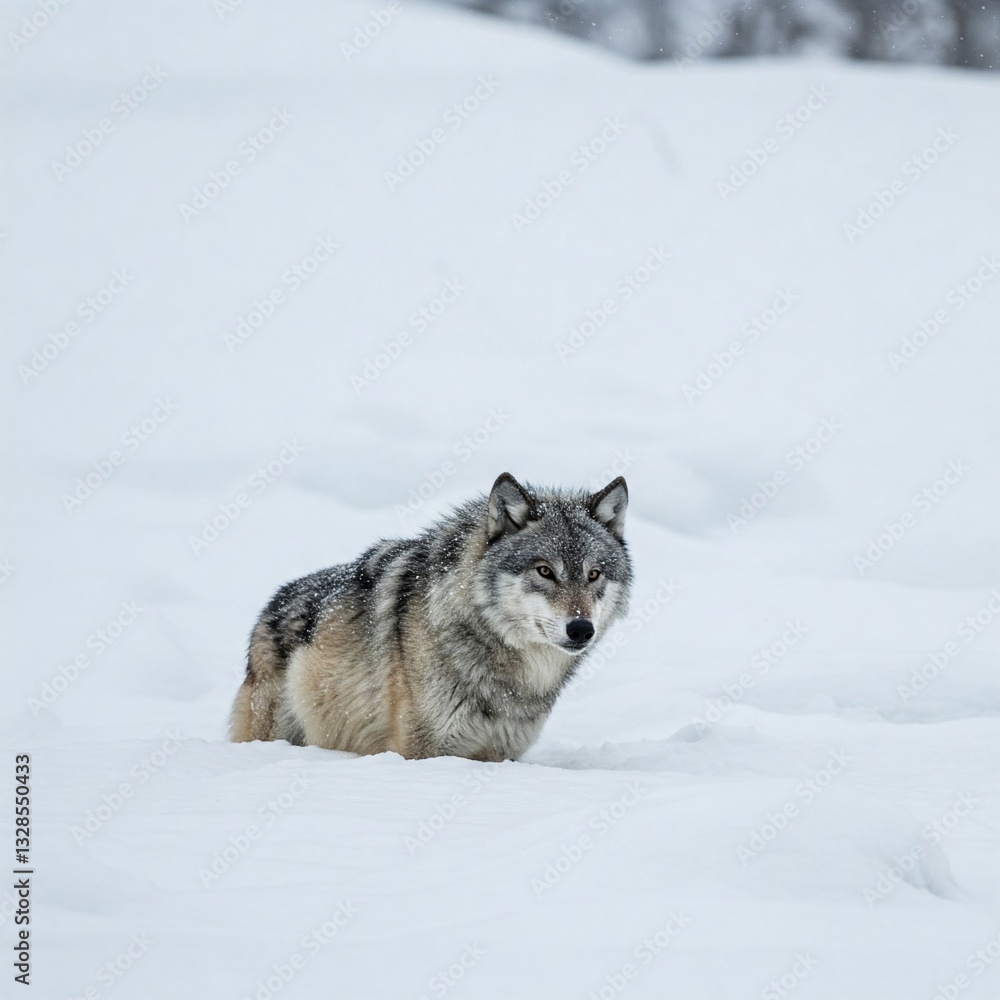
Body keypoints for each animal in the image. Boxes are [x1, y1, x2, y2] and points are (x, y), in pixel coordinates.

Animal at [229, 472, 632, 761]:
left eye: (594, 574)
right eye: (545, 571)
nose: (581, 629)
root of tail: (270, 608)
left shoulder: (499, 755)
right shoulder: (421, 749)